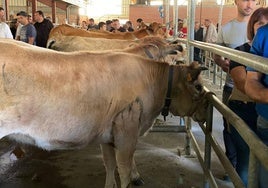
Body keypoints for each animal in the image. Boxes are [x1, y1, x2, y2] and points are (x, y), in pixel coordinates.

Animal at [0, 39, 208, 187]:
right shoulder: (128, 128)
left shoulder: (108, 133)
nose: (205, 113)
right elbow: (124, 169)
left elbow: (109, 165)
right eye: (198, 87)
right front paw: (135, 177)